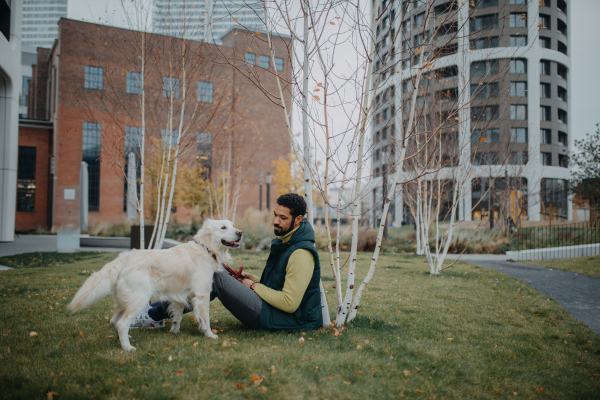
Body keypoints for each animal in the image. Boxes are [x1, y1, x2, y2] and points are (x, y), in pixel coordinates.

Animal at [68, 219, 241, 350]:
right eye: (223, 227)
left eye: (233, 225)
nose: (240, 233)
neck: (205, 248)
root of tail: (123, 258)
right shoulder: (202, 295)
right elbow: (206, 319)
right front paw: (210, 334)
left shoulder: (180, 296)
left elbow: (177, 317)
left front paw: (174, 332)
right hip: (139, 300)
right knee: (122, 324)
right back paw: (127, 348)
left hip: (125, 301)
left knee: (114, 322)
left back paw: (123, 340)